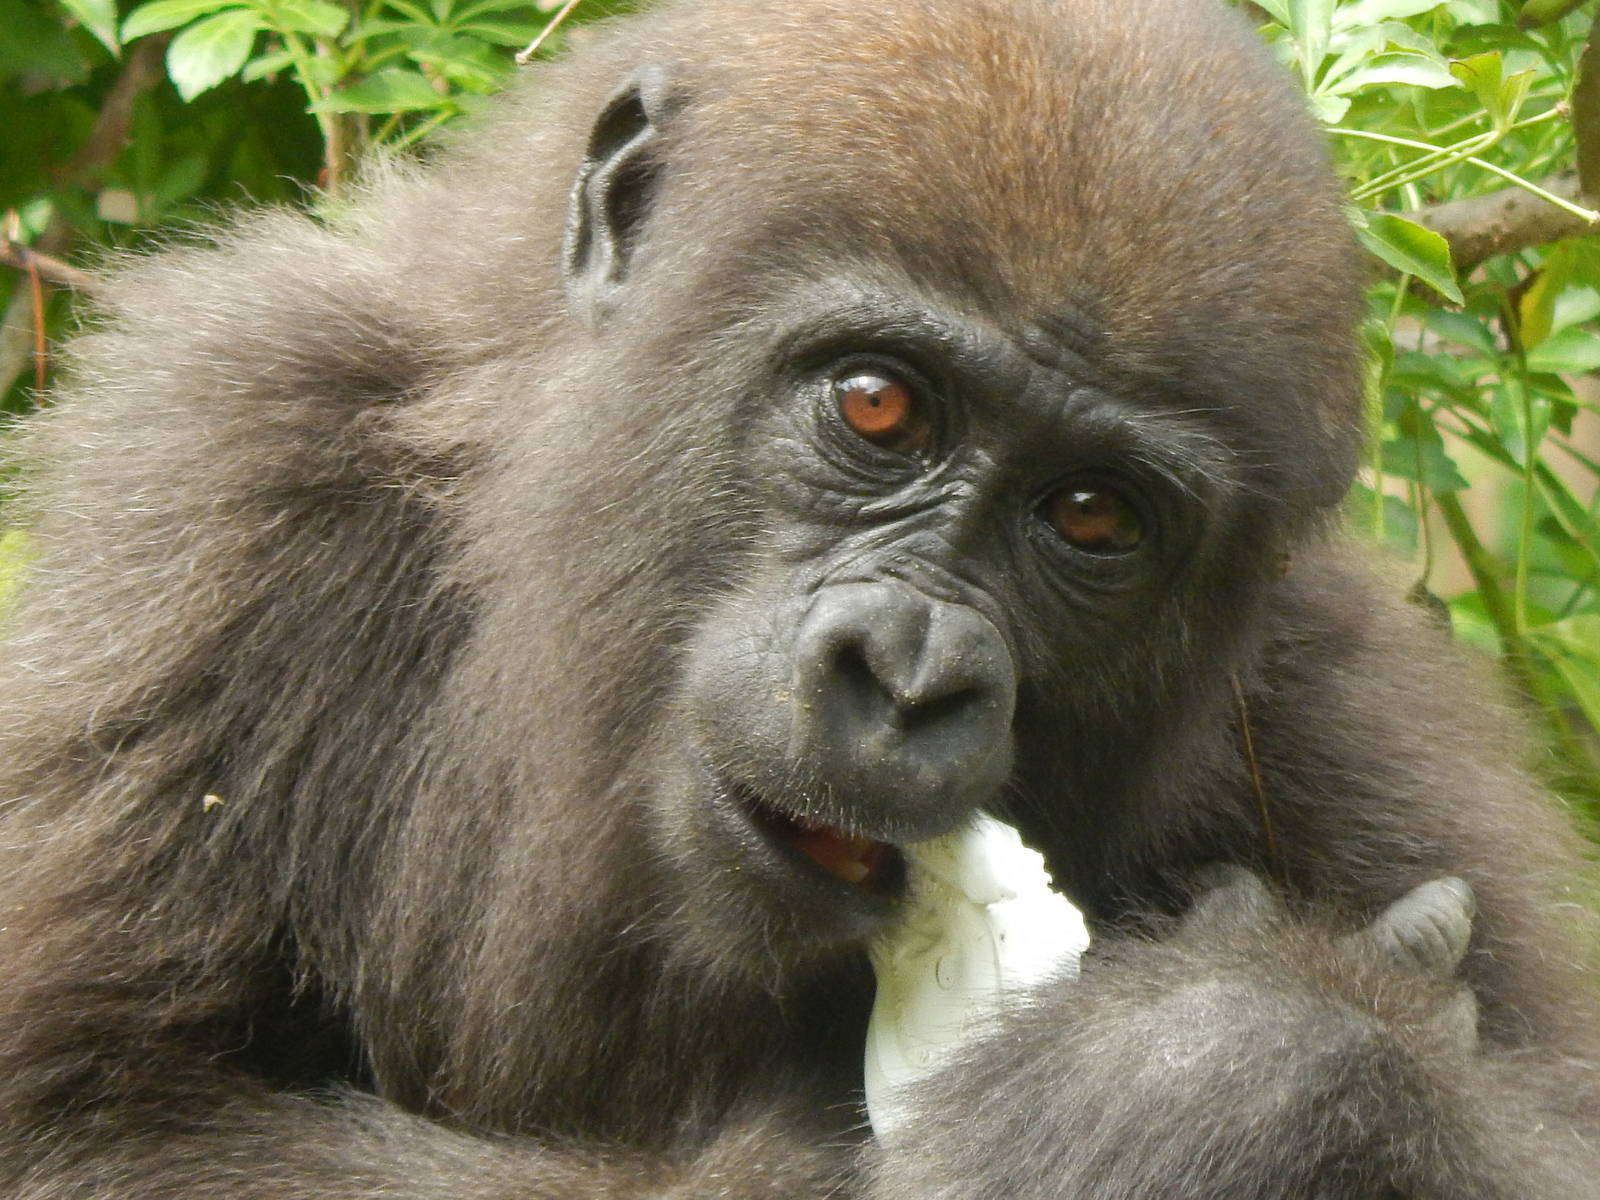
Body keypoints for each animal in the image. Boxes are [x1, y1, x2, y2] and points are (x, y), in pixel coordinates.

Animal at [0, 0, 1597, 1195]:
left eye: (1092, 516)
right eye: (879, 406)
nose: (909, 672)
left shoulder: (1330, 699)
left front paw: (1206, 1074)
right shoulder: (233, 461)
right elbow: (100, 1122)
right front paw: (1192, 1082)